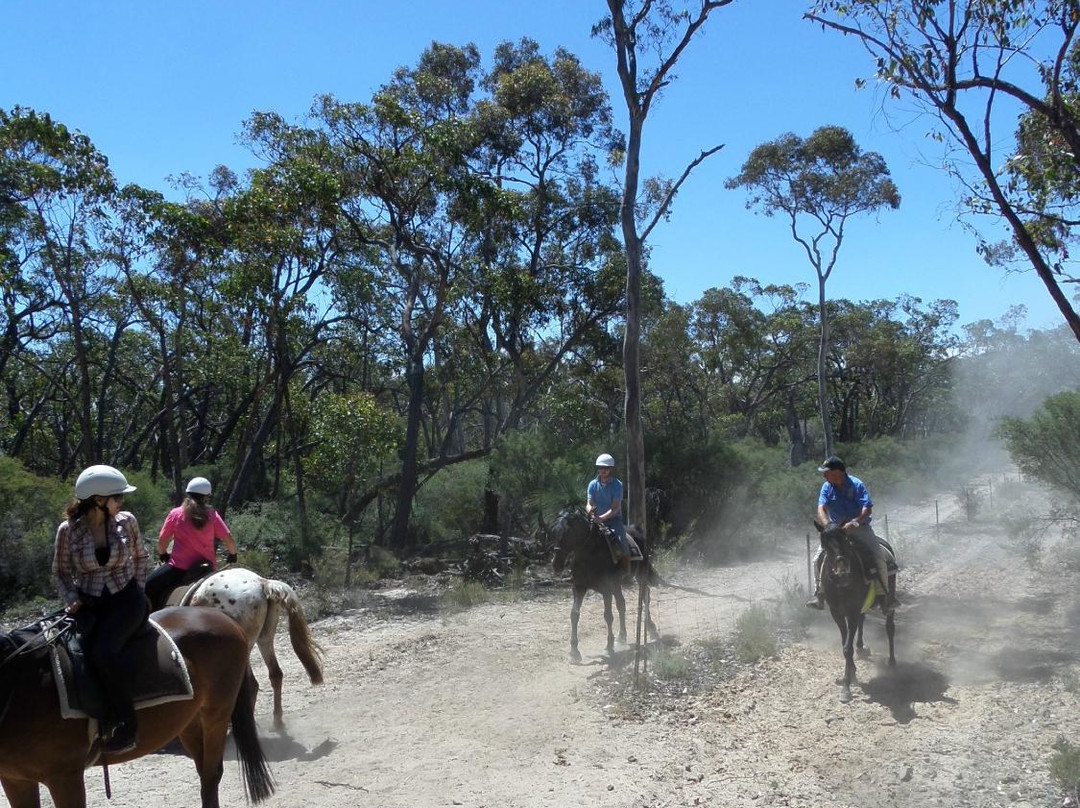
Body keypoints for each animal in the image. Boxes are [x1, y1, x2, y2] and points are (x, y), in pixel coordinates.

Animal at [0, 607, 274, 808]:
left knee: (210, 776)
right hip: (189, 722)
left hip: (216, 715)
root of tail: (225, 619)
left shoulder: (65, 777)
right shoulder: (15, 780)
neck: (22, 681)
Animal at [551, 509, 660, 664]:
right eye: (554, 531)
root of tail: (637, 530)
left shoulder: (606, 589)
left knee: (645, 596)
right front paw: (574, 651)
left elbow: (608, 616)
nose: (556, 564)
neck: (591, 554)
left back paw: (651, 628)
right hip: (617, 584)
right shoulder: (579, 588)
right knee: (622, 604)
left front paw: (609, 646)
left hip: (639, 576)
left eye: (568, 533)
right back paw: (622, 637)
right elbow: (574, 614)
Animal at [814, 521, 897, 702]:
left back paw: (892, 661)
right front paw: (852, 675)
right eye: (826, 545)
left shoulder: (852, 611)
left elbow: (847, 648)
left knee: (890, 628)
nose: (842, 574)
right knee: (862, 620)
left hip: (889, 598)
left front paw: (846, 686)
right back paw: (860, 647)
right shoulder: (837, 613)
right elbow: (845, 644)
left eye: (846, 542)